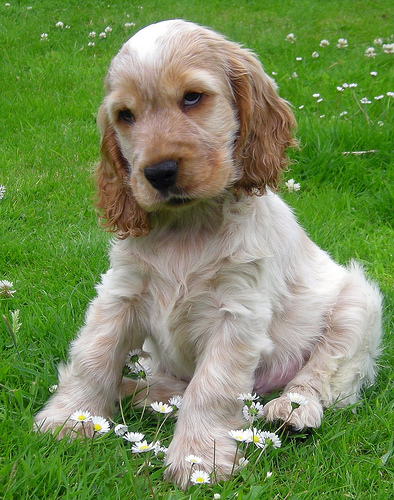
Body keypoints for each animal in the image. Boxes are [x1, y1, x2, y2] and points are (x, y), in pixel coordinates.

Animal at [36, 20, 382, 488]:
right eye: (125, 115)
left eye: (192, 97)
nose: (159, 172)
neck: (187, 226)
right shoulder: (120, 293)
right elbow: (93, 354)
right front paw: (70, 418)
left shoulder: (236, 311)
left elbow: (211, 385)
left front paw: (198, 458)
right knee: (169, 386)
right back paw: (138, 393)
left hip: (356, 306)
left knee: (319, 377)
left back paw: (291, 410)